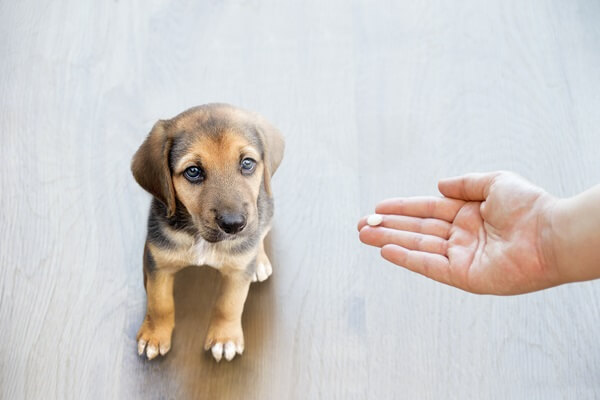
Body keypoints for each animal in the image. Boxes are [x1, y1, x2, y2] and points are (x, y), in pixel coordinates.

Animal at [131, 103, 284, 362]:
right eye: (193, 171)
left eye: (247, 163)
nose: (234, 225)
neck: (200, 237)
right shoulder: (158, 263)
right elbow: (159, 303)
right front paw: (155, 335)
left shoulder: (238, 272)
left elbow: (229, 304)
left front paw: (224, 339)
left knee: (261, 231)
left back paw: (260, 260)